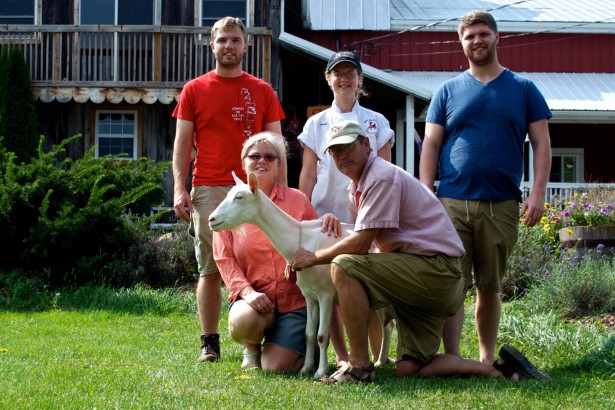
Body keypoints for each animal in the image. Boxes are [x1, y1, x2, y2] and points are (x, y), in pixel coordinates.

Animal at [209, 171, 392, 380]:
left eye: (239, 197)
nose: (211, 219)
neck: (301, 240)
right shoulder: (309, 295)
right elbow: (309, 333)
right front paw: (306, 368)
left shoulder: (325, 294)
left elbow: (322, 335)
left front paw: (320, 372)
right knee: (387, 325)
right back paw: (380, 360)